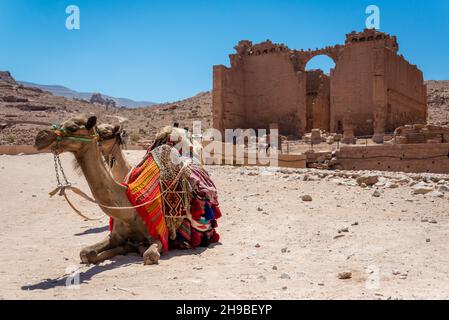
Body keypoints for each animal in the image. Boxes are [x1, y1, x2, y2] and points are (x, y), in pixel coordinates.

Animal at [33, 115, 163, 264]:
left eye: (73, 127)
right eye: (98, 129)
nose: (40, 136)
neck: (129, 208)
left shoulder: (156, 236)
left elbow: (149, 255)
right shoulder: (115, 236)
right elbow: (85, 253)